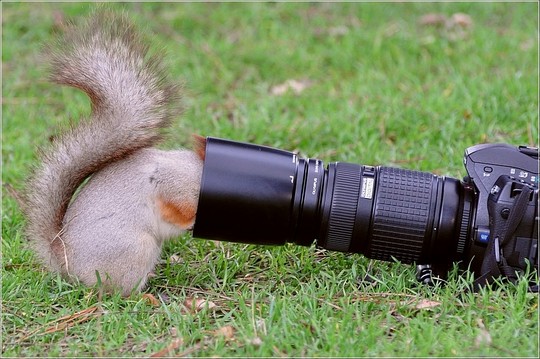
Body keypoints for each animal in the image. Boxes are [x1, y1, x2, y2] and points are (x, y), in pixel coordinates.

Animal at [22, 10, 207, 298]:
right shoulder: (172, 184)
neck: (198, 172)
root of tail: (69, 266)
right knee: (119, 293)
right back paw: (147, 297)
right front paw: (191, 220)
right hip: (135, 250)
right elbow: (174, 210)